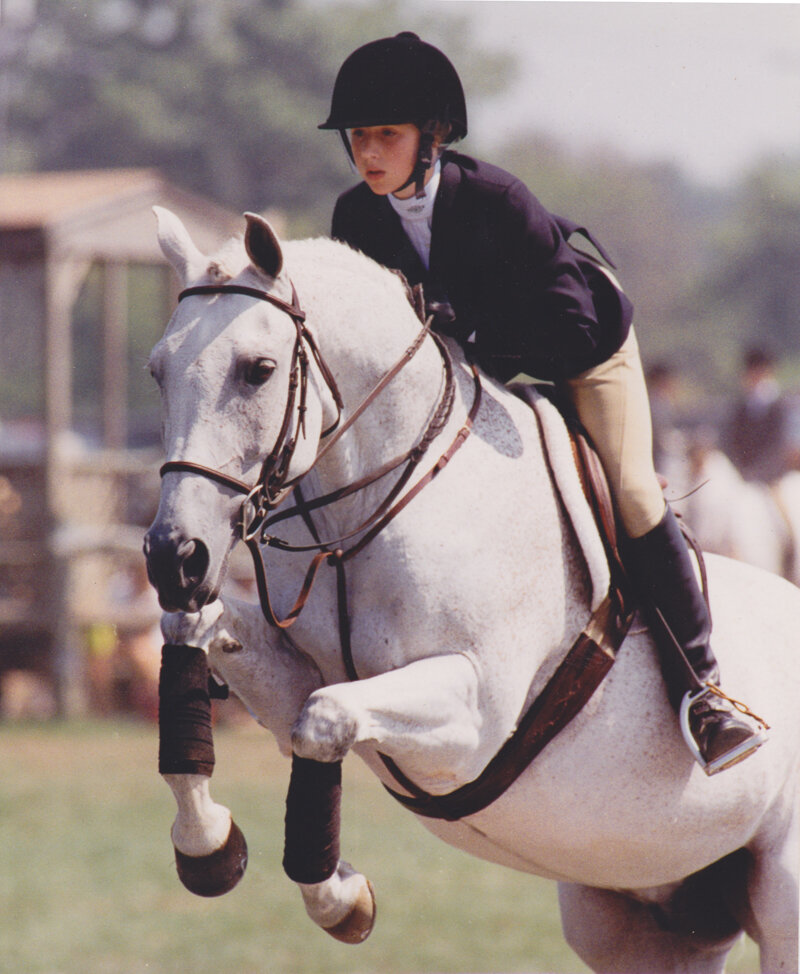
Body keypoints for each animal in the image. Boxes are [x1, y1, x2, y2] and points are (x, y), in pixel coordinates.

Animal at [145, 210, 800, 972]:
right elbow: (204, 643)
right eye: (157, 371)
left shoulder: (475, 718)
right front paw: (210, 849)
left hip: (781, 899)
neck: (367, 514)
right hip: (639, 920)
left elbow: (325, 718)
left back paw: (720, 723)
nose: (173, 557)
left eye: (259, 370)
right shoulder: (295, 672)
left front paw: (339, 900)